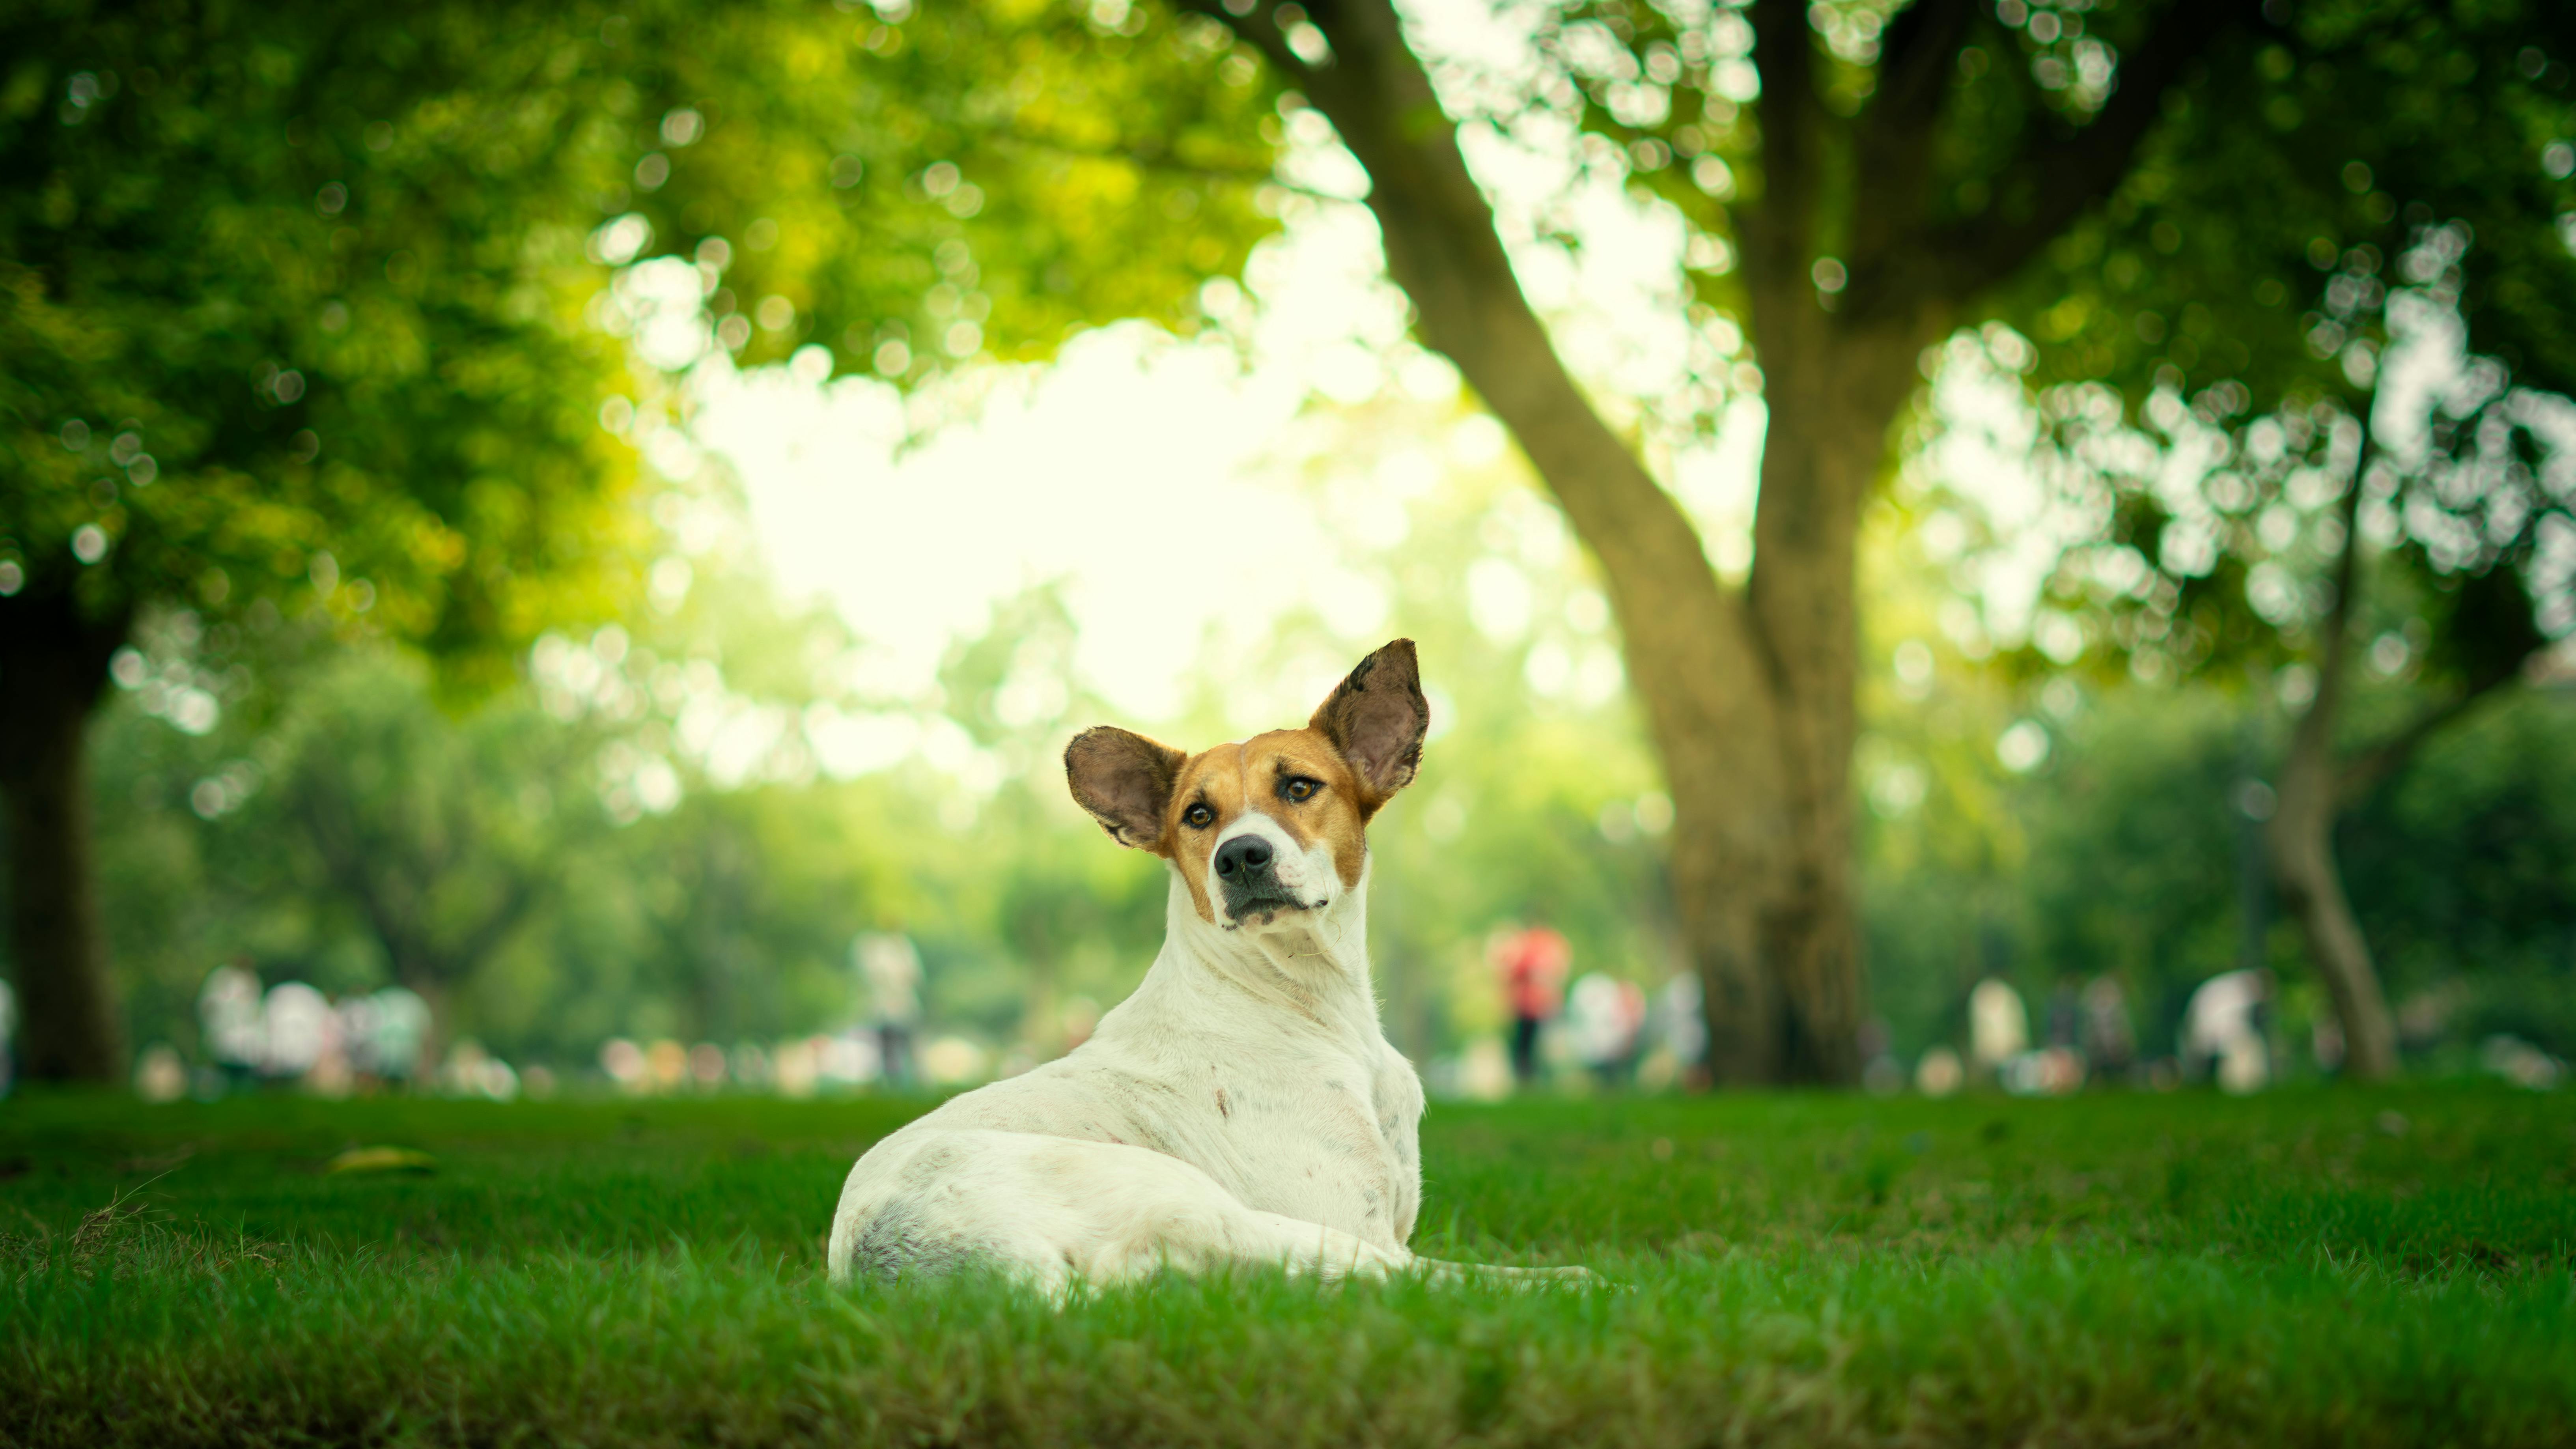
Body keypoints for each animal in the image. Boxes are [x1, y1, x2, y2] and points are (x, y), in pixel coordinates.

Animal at [824, 637, 1587, 1289]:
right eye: (1197, 814)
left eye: (1300, 787)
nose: (1240, 855)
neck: (1304, 1002)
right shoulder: (1351, 1225)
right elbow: (1432, 1272)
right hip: (1202, 1202)